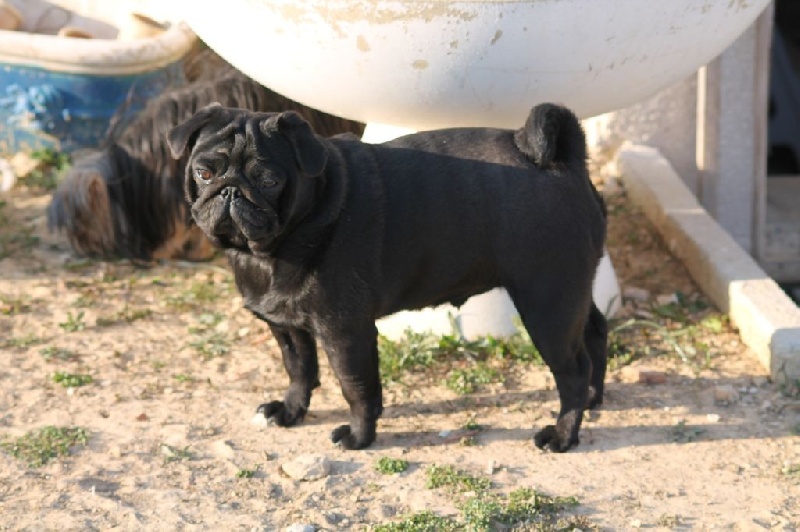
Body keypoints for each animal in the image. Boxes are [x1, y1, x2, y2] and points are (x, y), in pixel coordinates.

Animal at [167, 102, 608, 450]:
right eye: (204, 173)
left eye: (269, 180)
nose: (229, 191)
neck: (270, 251)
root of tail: (560, 161)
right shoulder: (287, 327)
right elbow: (299, 371)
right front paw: (290, 411)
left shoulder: (345, 332)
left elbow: (356, 387)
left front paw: (360, 437)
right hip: (571, 291)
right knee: (595, 332)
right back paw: (593, 398)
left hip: (547, 302)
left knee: (571, 370)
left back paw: (563, 434)